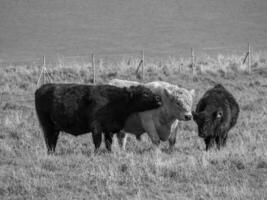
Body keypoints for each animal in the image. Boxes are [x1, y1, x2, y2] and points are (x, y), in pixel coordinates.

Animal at [34, 83, 162, 153]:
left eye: (149, 91)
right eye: (145, 93)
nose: (159, 99)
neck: (115, 100)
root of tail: (41, 89)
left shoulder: (109, 130)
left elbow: (108, 143)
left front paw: (109, 153)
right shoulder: (96, 128)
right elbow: (98, 142)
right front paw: (96, 153)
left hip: (55, 128)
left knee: (53, 140)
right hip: (47, 126)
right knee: (49, 140)